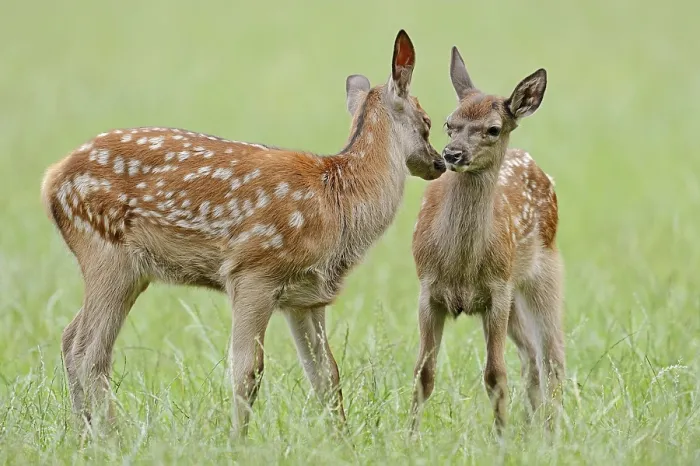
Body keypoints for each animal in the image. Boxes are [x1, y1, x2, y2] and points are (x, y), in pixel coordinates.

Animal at [40, 30, 445, 437]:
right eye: (427, 121)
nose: (440, 162)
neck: (339, 201)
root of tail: (51, 180)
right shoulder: (253, 272)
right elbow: (247, 370)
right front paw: (238, 441)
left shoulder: (307, 297)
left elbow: (326, 374)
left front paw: (341, 440)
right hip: (108, 254)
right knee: (90, 351)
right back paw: (111, 437)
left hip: (128, 269)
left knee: (70, 338)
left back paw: (84, 435)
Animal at [409, 46, 565, 436]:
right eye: (449, 123)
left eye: (493, 129)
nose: (452, 154)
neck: (460, 268)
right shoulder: (427, 291)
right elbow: (423, 374)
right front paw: (410, 437)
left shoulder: (497, 291)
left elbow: (495, 376)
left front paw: (501, 438)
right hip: (515, 296)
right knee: (531, 354)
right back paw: (533, 426)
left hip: (544, 272)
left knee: (552, 355)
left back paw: (551, 431)